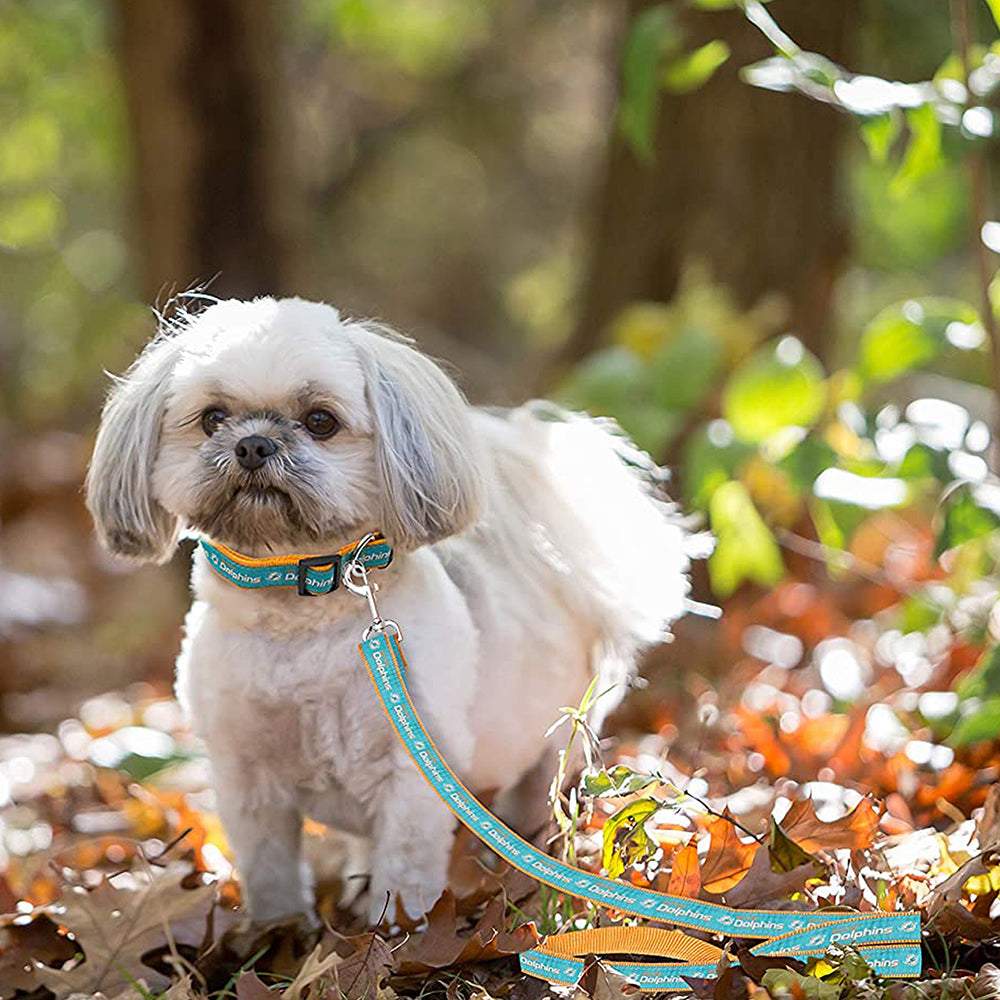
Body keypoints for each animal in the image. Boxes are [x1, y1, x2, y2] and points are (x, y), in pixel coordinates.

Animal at [86, 298, 692, 928]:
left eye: (320, 421)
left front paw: (398, 931)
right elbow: (271, 871)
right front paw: (279, 932)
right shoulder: (245, 777)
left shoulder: (412, 773)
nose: (253, 445)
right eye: (212, 418)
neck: (300, 612)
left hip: (553, 737)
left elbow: (404, 869)